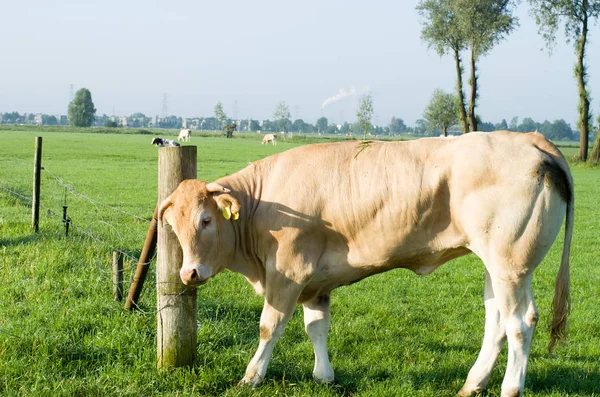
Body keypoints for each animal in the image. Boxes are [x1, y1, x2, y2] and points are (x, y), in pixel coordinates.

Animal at [158, 131, 572, 396]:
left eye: (206, 220)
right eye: (173, 226)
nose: (188, 273)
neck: (263, 206)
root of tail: (533, 139)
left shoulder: (288, 271)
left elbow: (269, 327)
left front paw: (251, 377)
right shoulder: (315, 280)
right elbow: (316, 327)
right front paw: (324, 376)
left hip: (511, 263)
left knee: (520, 323)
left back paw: (510, 388)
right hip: (495, 265)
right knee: (496, 321)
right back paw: (472, 384)